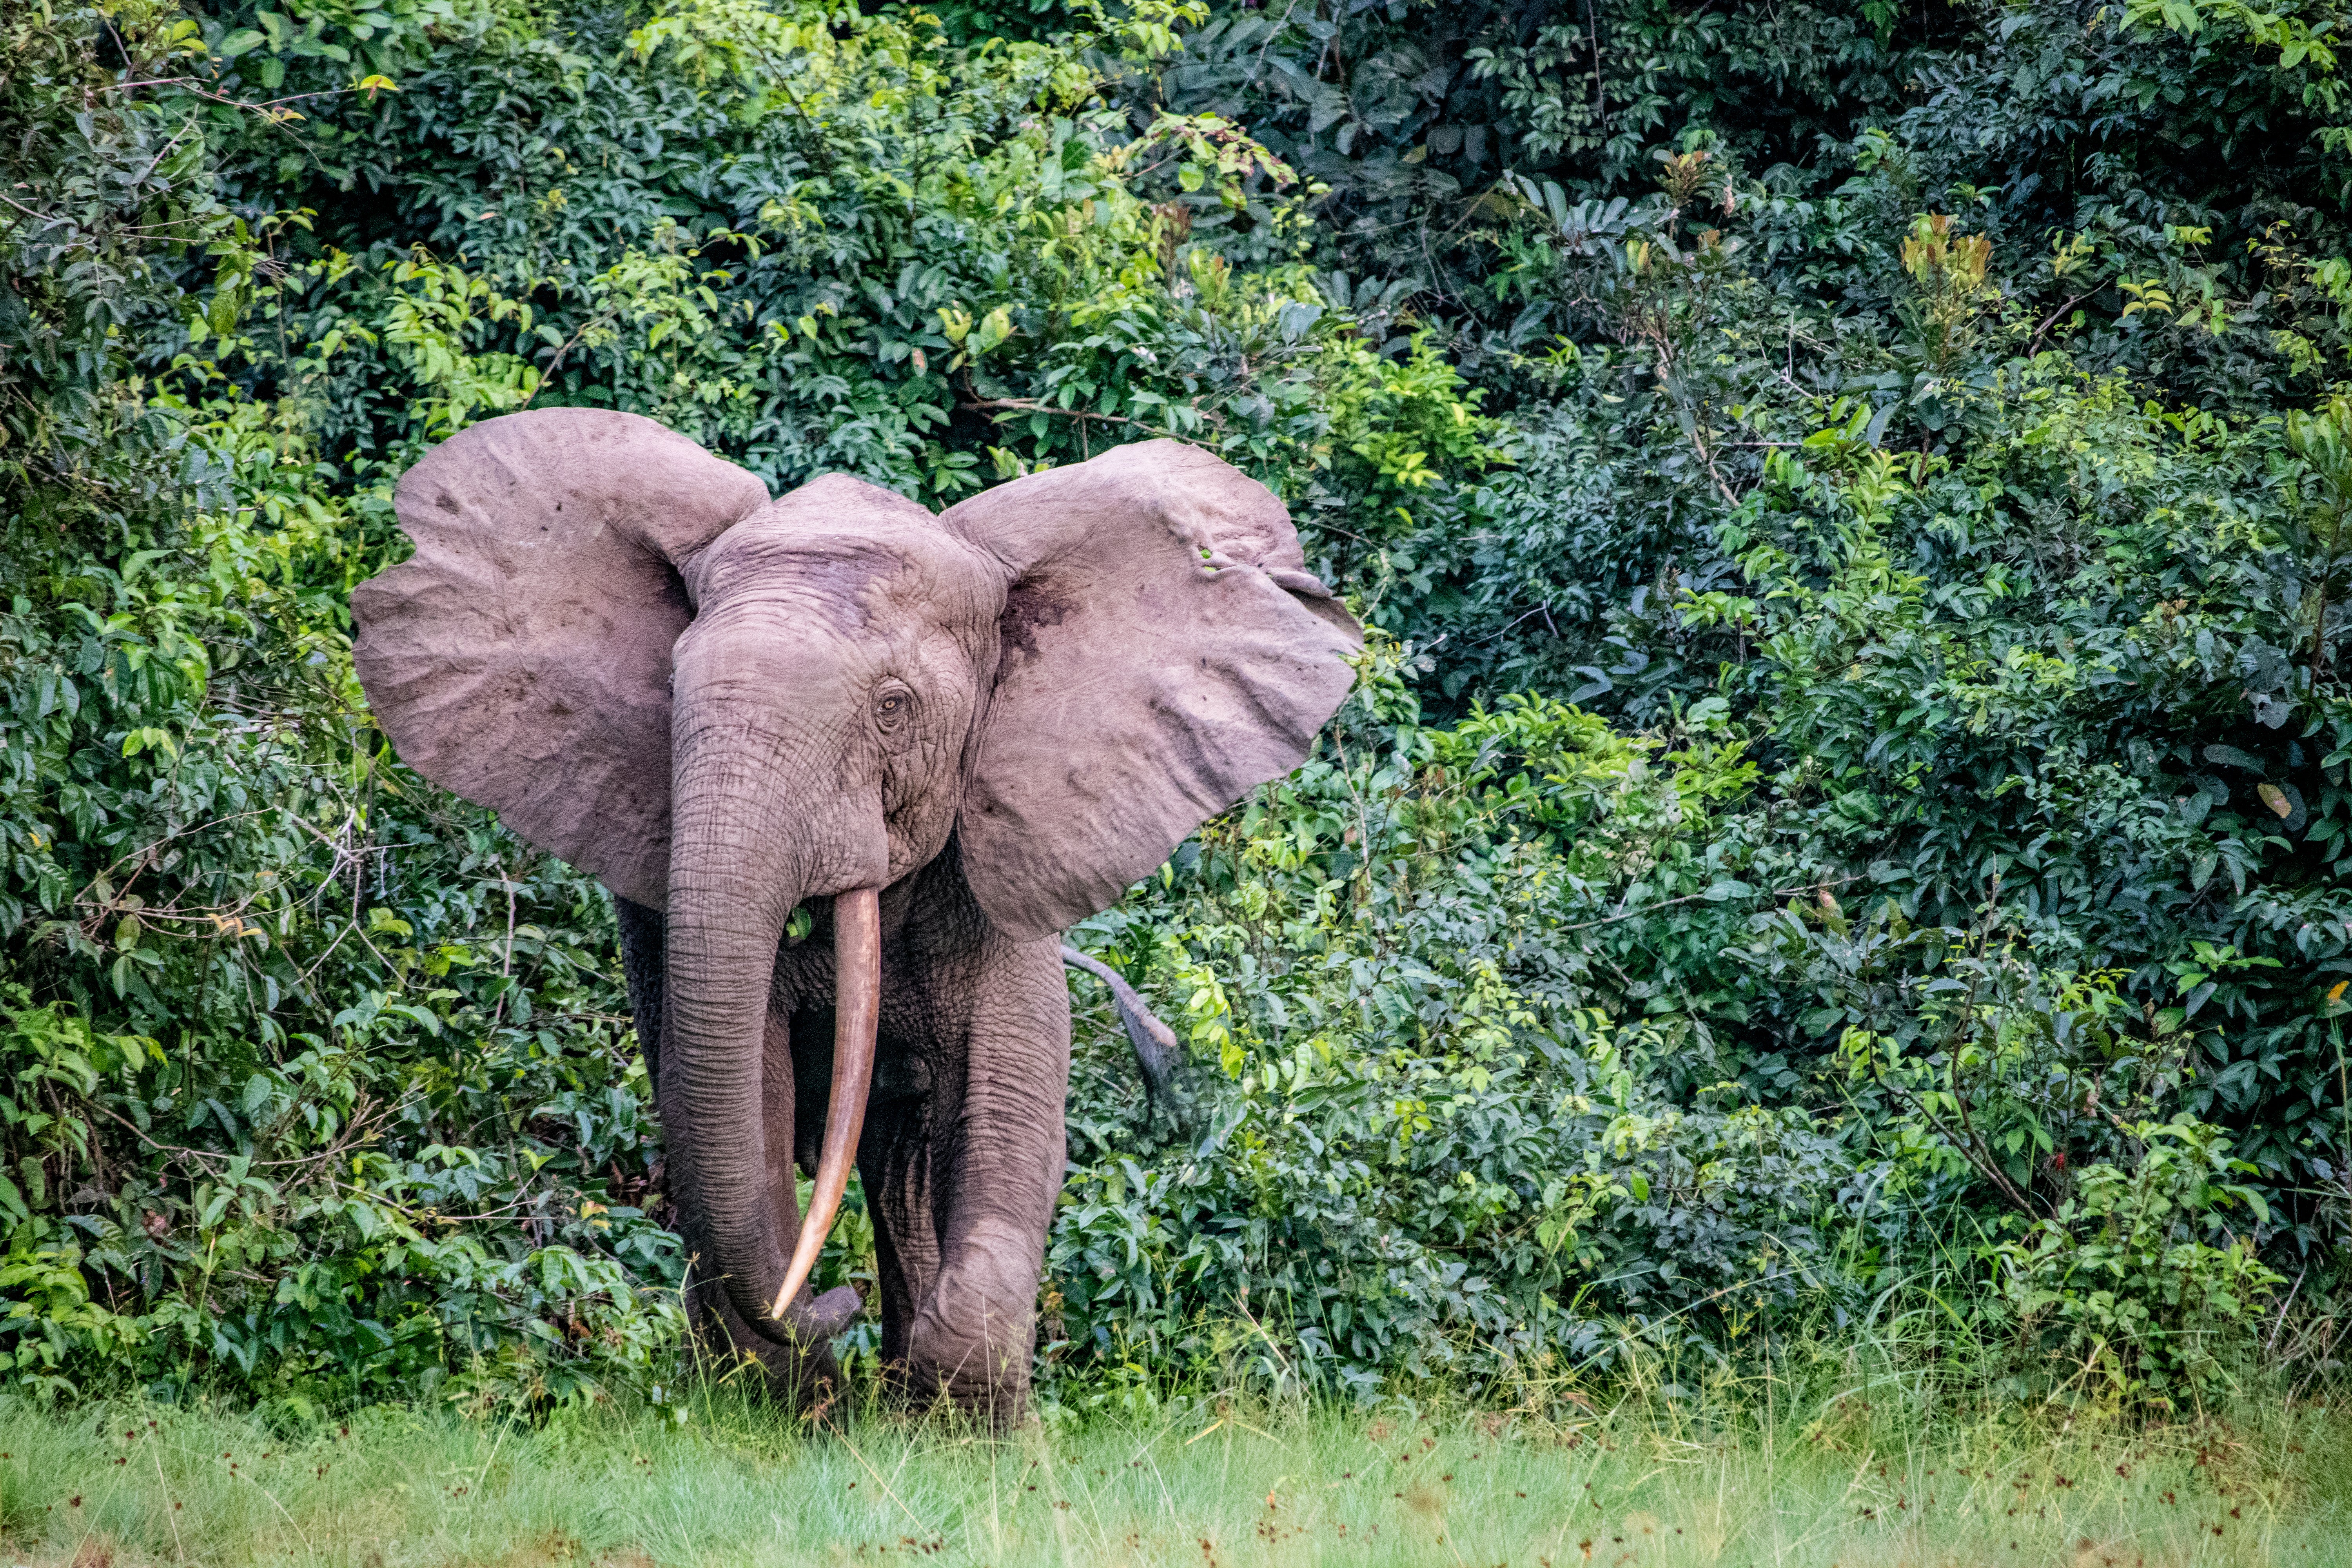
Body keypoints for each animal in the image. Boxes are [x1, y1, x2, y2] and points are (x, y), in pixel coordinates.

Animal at [348, 409, 1364, 1420]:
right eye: (669, 694)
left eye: (893, 709)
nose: (833, 1297)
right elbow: (742, 1095)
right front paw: (796, 1404)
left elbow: (1009, 1117)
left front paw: (961, 1417)